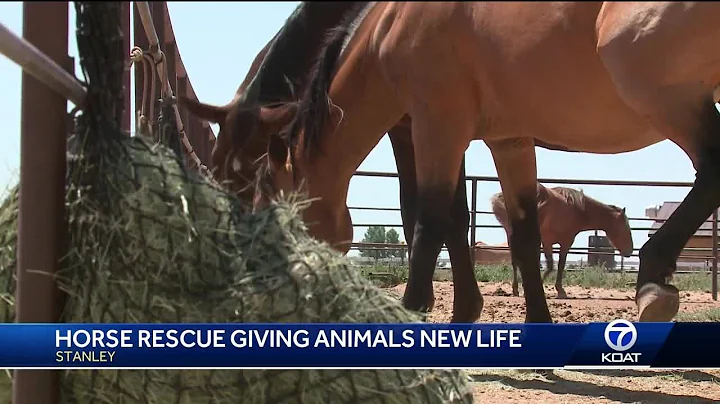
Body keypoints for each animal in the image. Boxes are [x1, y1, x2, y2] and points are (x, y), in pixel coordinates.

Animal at [180, 0, 484, 322]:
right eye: (215, 166)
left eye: (252, 170)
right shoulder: (404, 129)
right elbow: (411, 210)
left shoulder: (438, 125)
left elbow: (451, 215)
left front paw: (463, 307)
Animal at [490, 185, 636, 298]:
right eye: (625, 228)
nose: (630, 251)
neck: (578, 210)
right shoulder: (558, 242)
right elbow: (556, 265)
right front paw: (559, 290)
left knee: (515, 262)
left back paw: (515, 289)